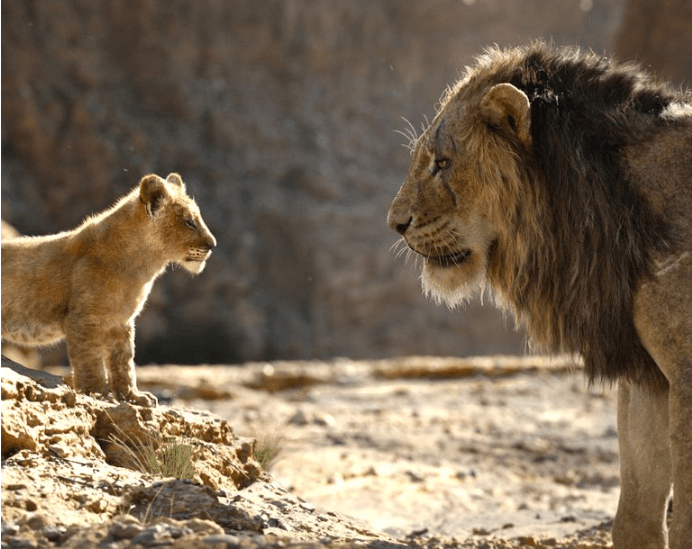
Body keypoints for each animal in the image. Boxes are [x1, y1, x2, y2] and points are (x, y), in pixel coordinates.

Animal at [1, 173, 216, 407]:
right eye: (189, 221)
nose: (213, 245)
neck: (142, 265)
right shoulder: (82, 320)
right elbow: (90, 361)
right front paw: (97, 394)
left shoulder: (121, 322)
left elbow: (124, 362)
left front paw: (133, 397)